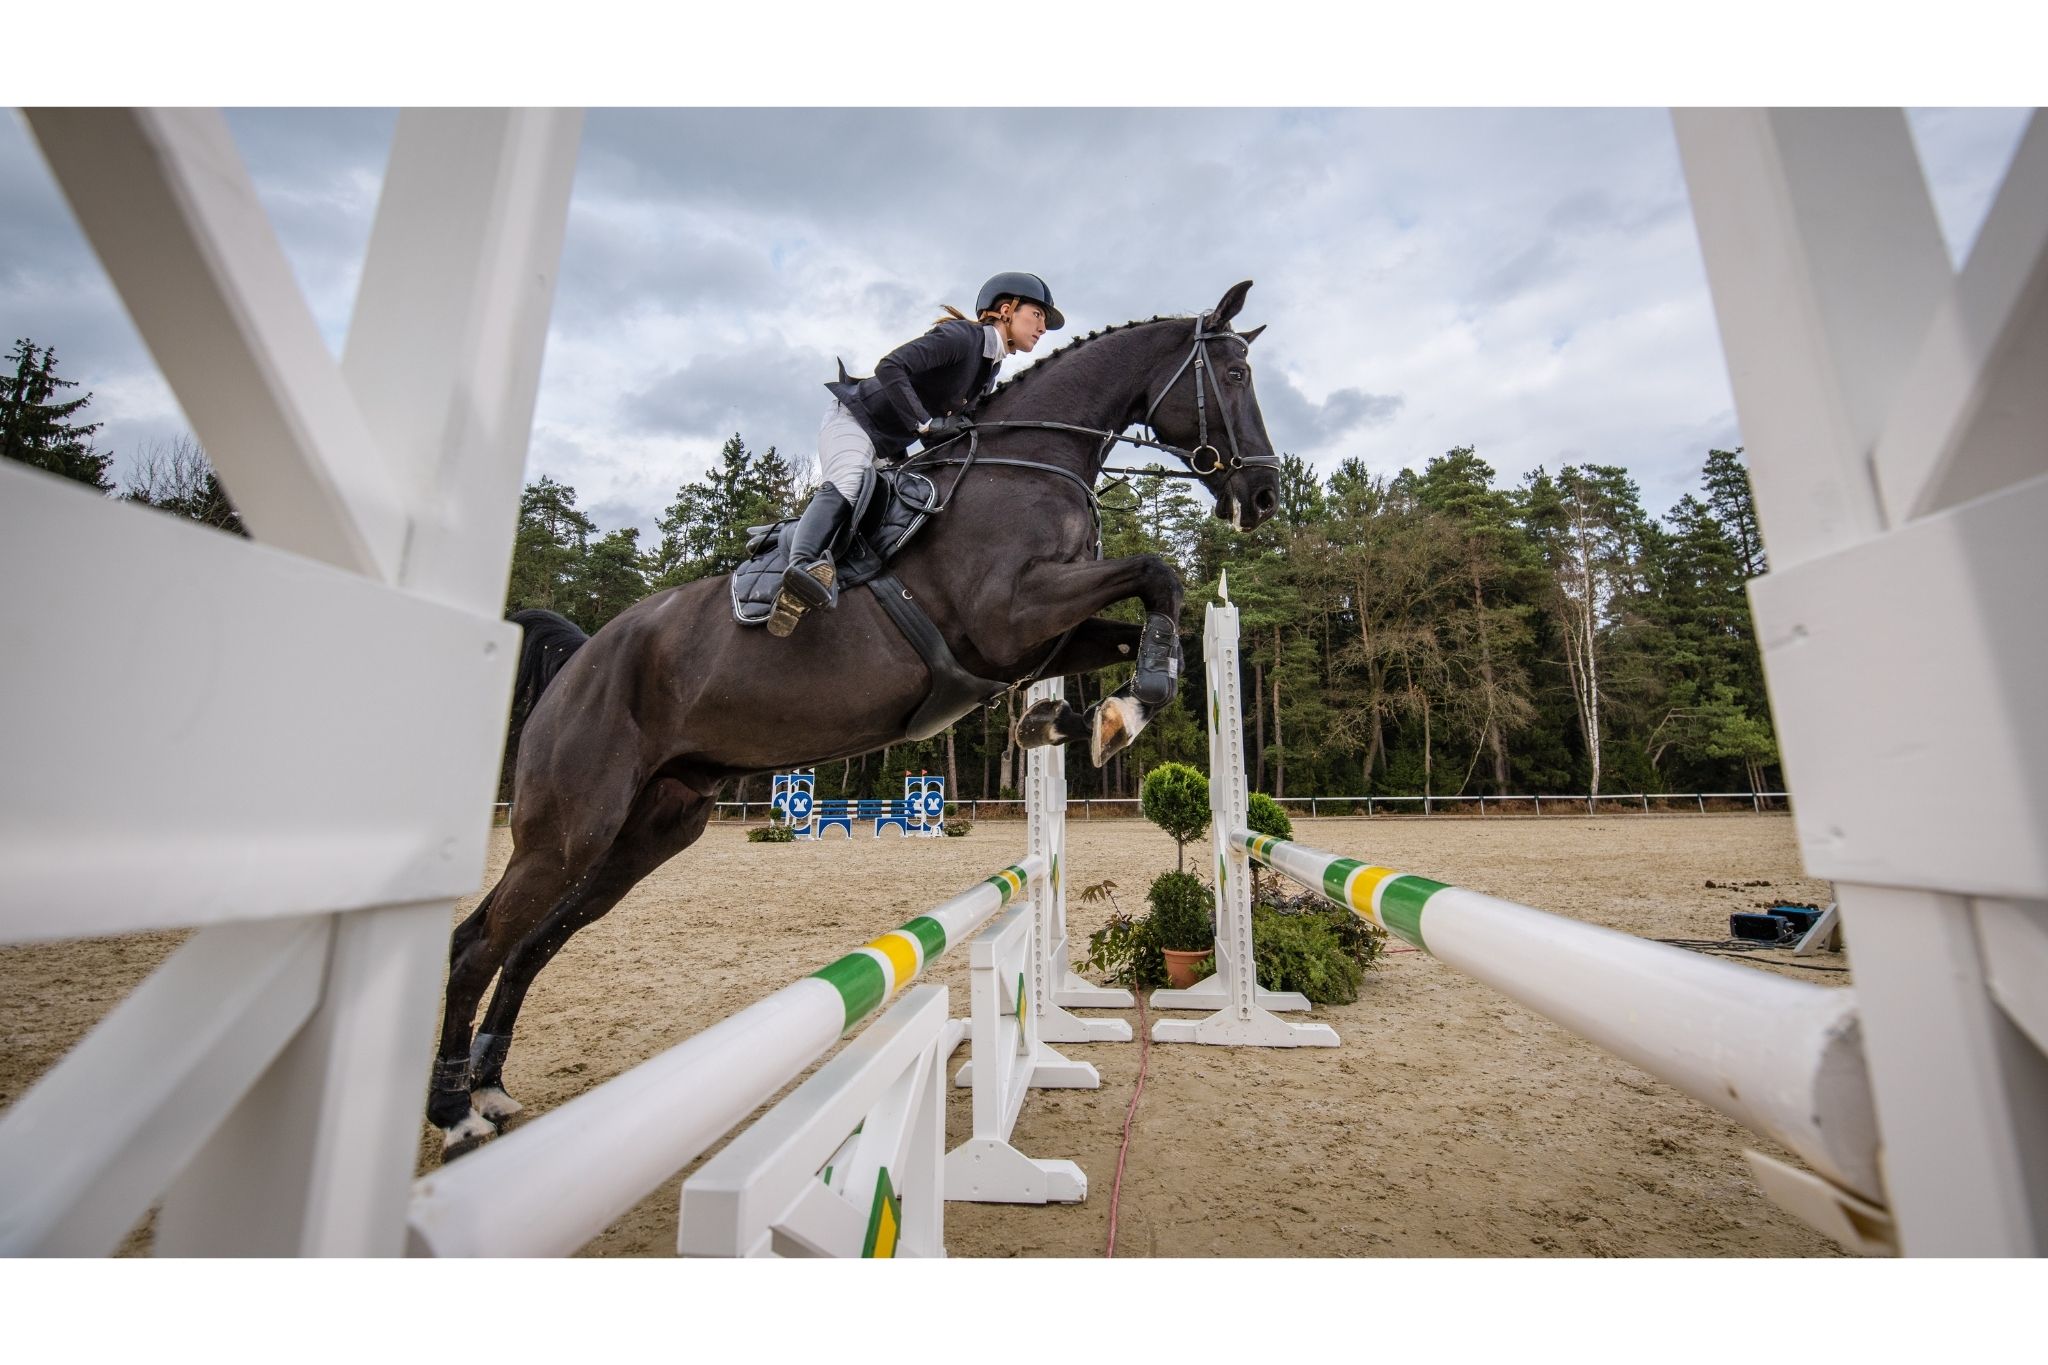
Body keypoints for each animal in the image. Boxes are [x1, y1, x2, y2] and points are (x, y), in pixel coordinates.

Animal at [431, 280, 1284, 1154]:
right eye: (1237, 374)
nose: (1263, 495)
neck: (1033, 464)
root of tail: (582, 659)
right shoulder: (1010, 614)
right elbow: (1158, 571)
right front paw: (1119, 706)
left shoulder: (1033, 640)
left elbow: (1148, 614)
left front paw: (1082, 718)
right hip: (571, 826)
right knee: (476, 943)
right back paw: (456, 1108)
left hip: (650, 831)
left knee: (532, 942)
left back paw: (492, 1084)